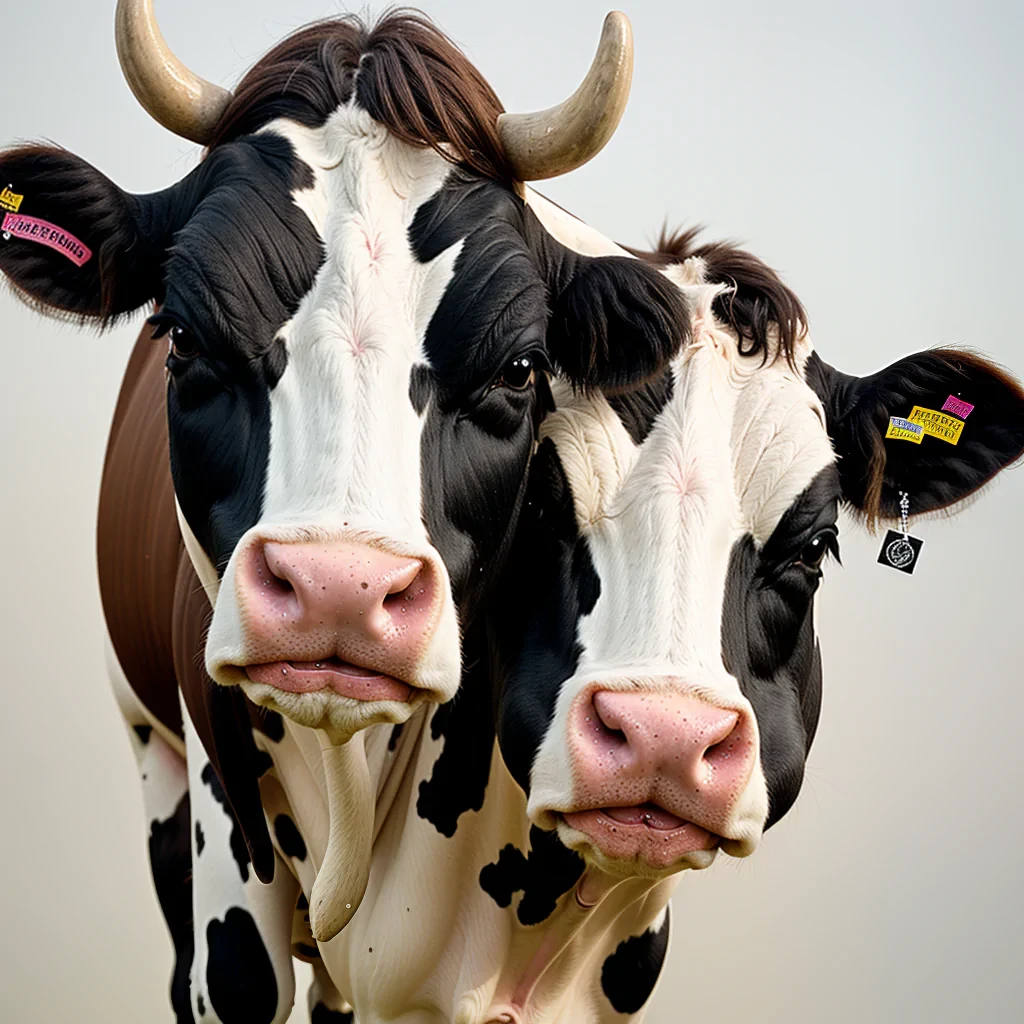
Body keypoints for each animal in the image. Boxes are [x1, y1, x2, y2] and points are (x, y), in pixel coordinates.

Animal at [0, 4, 689, 1022]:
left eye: (521, 368)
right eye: (184, 338)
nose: (338, 590)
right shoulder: (214, 804)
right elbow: (234, 975)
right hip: (147, 746)